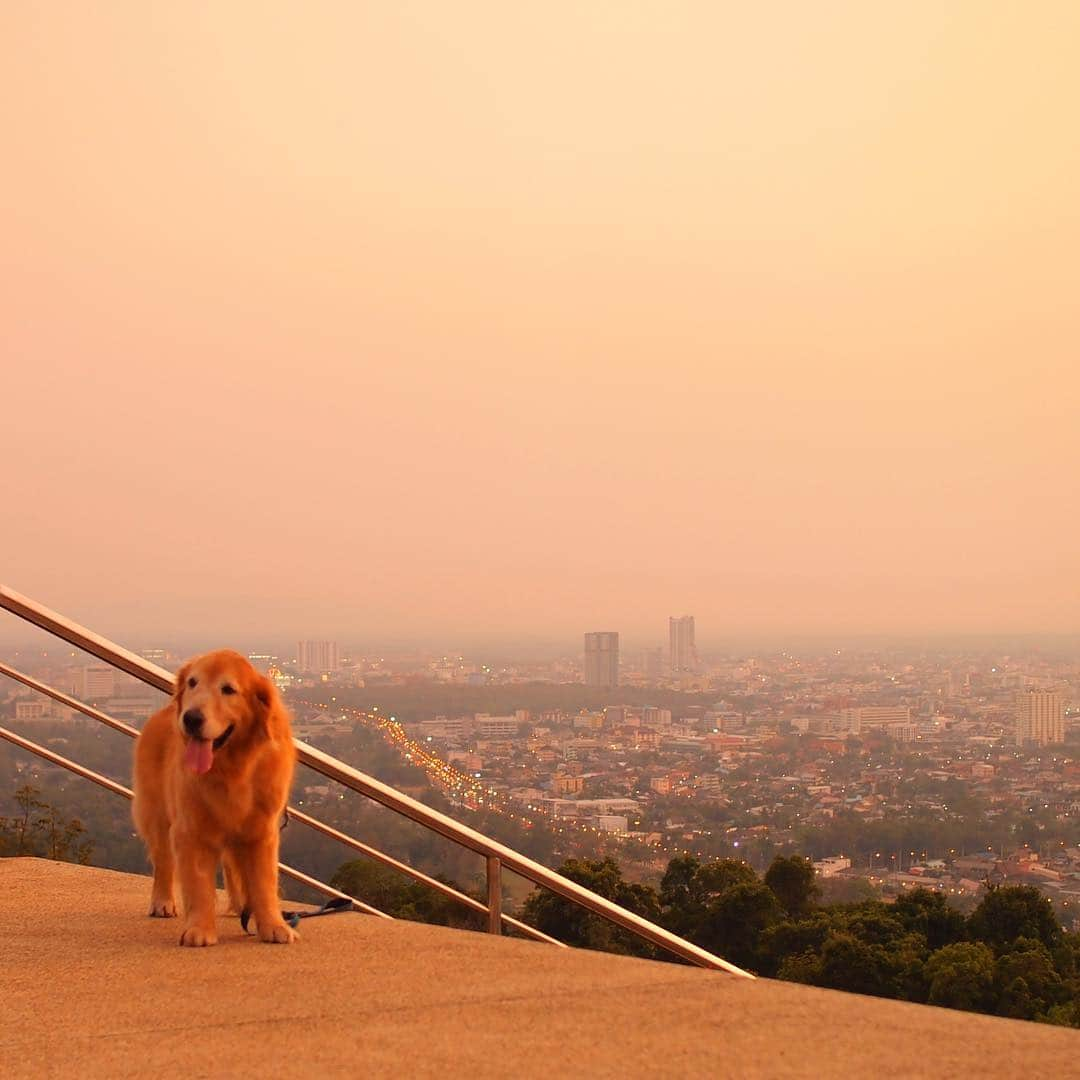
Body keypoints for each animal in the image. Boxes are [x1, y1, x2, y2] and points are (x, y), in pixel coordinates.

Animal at [132, 648, 298, 946]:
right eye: (192, 683)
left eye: (228, 689)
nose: (191, 718)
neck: (231, 769)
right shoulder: (190, 830)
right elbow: (198, 886)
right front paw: (200, 929)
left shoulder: (261, 831)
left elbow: (264, 883)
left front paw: (273, 925)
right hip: (157, 814)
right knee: (163, 862)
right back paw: (163, 901)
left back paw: (243, 905)